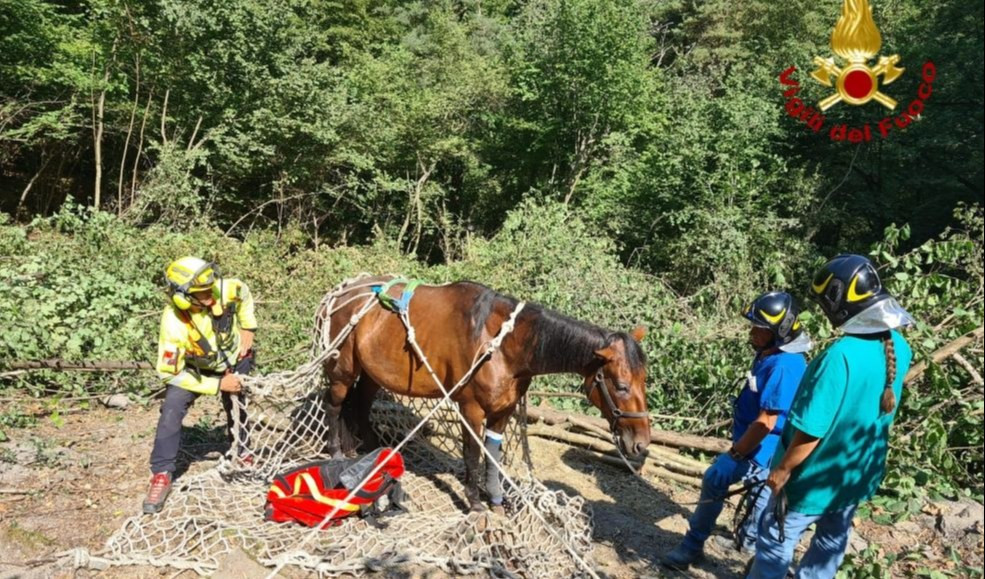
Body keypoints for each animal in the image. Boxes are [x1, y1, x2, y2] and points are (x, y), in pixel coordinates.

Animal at [320, 278, 648, 512]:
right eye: (621, 386)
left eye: (645, 380)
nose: (641, 444)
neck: (501, 343)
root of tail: (343, 293)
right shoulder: (471, 409)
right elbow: (472, 453)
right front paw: (474, 500)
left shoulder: (503, 411)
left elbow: (493, 454)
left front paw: (495, 499)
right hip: (343, 369)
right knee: (335, 405)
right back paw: (337, 451)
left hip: (372, 374)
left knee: (359, 408)